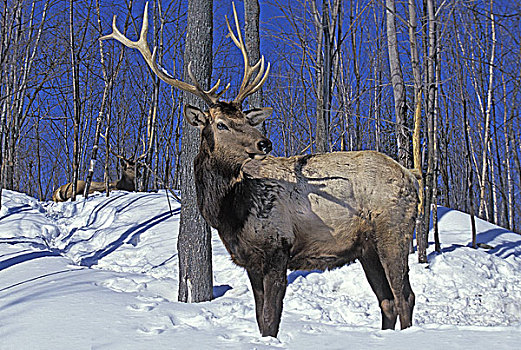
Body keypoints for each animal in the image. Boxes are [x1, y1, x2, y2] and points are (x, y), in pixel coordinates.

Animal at [101, 1, 418, 338]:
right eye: (221, 123)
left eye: (245, 118)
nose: (264, 142)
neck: (230, 213)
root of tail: (413, 179)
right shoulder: (250, 260)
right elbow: (259, 319)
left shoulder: (278, 250)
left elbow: (271, 319)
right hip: (366, 248)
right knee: (386, 300)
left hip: (394, 230)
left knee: (404, 296)